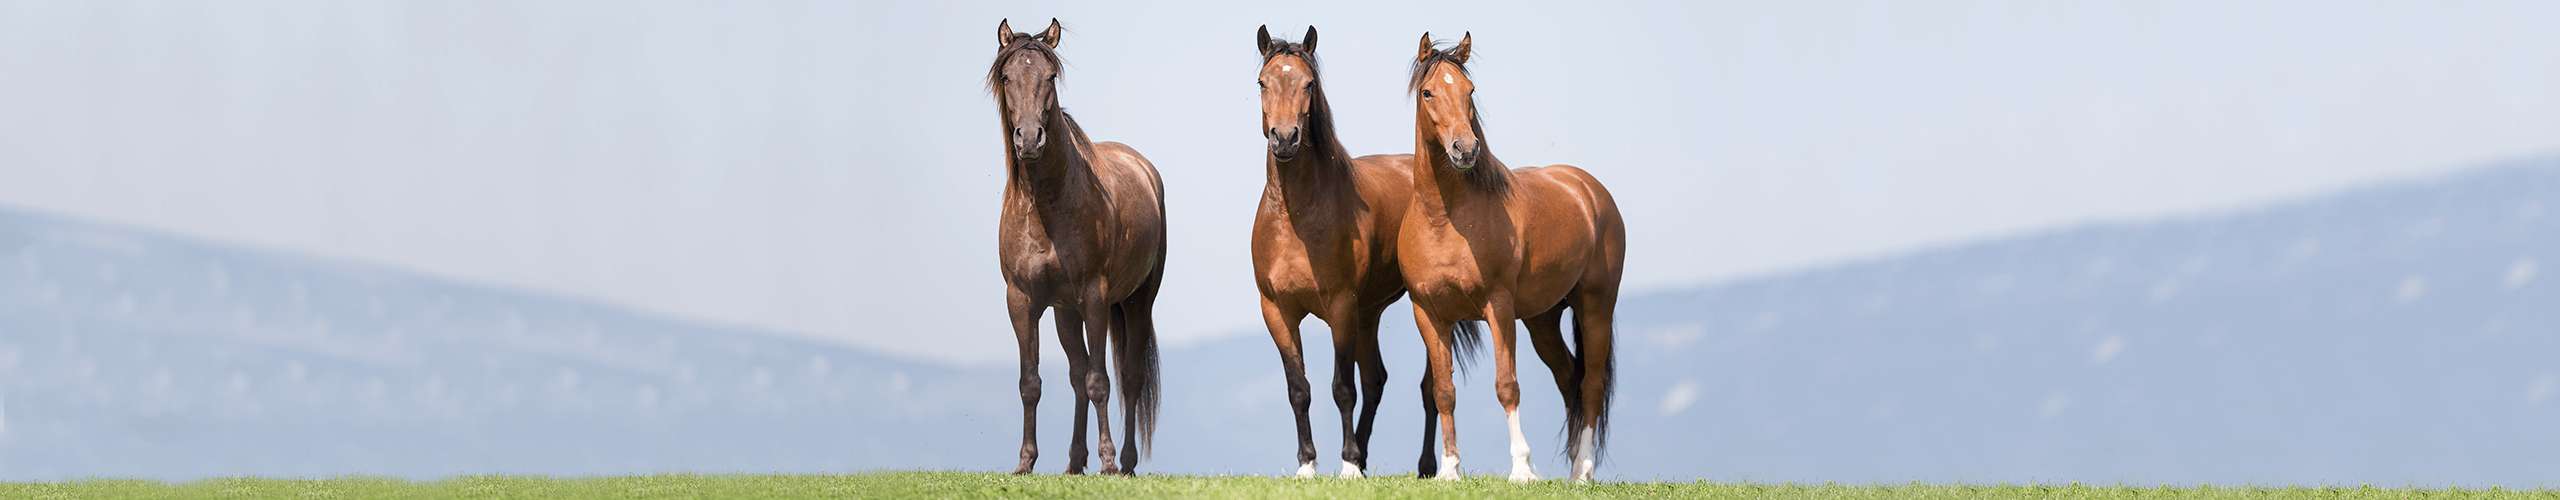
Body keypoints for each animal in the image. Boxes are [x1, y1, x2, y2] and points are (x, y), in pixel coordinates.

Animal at [988, 17, 1172, 474]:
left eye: (1050, 76)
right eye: (1006, 76)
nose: (1030, 139)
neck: (1047, 205)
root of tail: (1143, 167)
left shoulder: (1094, 296)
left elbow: (1099, 380)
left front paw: (1107, 461)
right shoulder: (1022, 301)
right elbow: (1032, 382)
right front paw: (1025, 462)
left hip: (1136, 302)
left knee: (1128, 377)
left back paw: (1125, 462)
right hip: (1065, 312)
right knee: (1075, 375)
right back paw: (1074, 461)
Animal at [1254, 26, 1433, 479]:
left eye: (1309, 84)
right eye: (1262, 82)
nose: (1285, 138)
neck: (1296, 219)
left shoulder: (1340, 307)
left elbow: (1342, 388)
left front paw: (1348, 464)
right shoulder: (1277, 311)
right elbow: (1298, 388)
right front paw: (1307, 464)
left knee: (1428, 386)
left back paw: (1424, 466)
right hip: (1369, 313)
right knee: (1376, 380)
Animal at [1392, 32, 1628, 484]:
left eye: (1469, 90)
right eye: (1429, 92)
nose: (1465, 149)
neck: (1445, 219)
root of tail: (1588, 190)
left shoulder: (1497, 306)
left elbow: (1506, 385)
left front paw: (1522, 468)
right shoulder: (1428, 313)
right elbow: (1443, 391)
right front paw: (1450, 469)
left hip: (1595, 307)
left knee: (1590, 384)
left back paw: (1583, 471)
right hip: (1543, 319)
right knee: (1569, 377)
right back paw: (1573, 465)